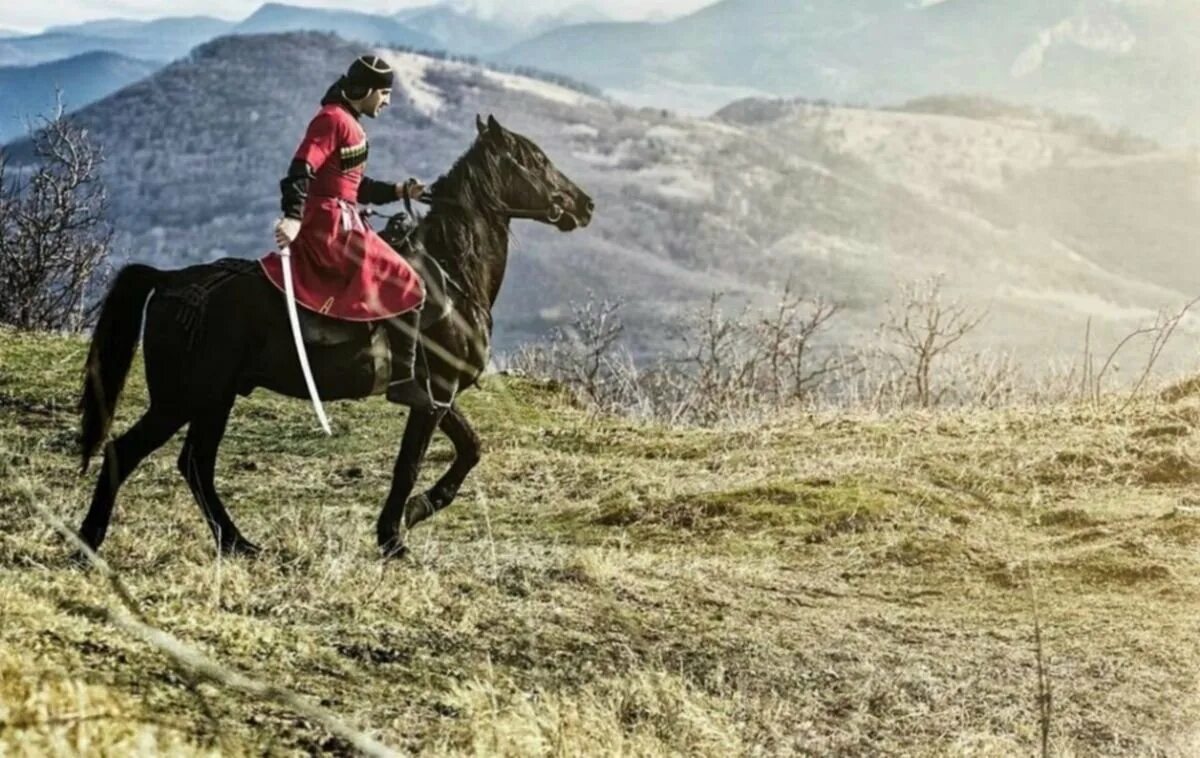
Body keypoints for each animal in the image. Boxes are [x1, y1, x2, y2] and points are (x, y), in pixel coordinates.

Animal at [77, 115, 592, 558]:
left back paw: (238, 543)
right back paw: (90, 543)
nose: (585, 205)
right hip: (184, 397)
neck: (451, 274)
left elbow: (470, 449)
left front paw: (413, 514)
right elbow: (409, 465)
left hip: (214, 398)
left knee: (195, 465)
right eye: (536, 159)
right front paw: (394, 537)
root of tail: (169, 280)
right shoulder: (434, 394)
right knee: (128, 452)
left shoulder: (440, 398)